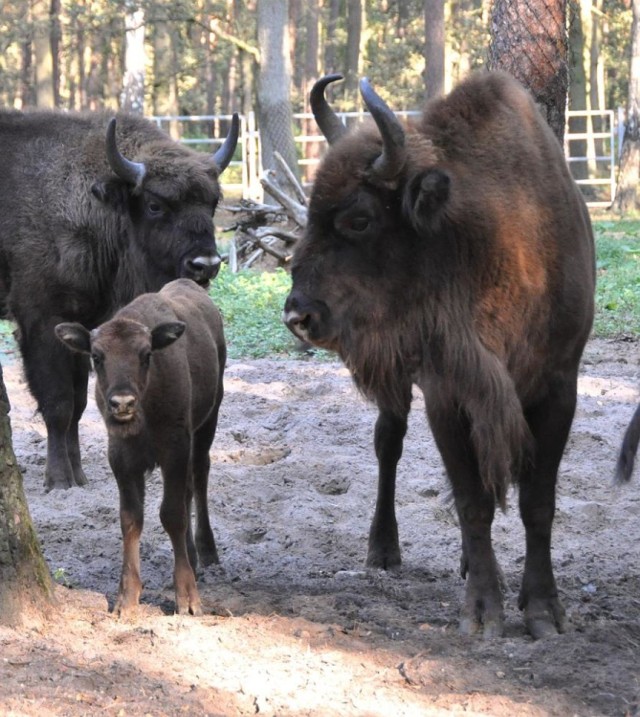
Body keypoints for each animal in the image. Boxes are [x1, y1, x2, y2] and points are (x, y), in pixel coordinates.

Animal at [0, 109, 238, 492]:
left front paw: (80, 476)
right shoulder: (41, 322)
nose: (205, 264)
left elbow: (79, 402)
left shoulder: (83, 324)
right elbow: (59, 403)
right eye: (155, 205)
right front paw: (59, 480)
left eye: (211, 203)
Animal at [55, 280, 225, 616]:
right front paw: (126, 598)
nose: (122, 403)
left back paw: (207, 551)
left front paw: (187, 598)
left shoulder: (175, 449)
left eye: (146, 354)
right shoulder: (122, 459)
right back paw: (192, 555)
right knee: (189, 487)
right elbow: (131, 518)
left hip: (208, 420)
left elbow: (172, 514)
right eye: (97, 356)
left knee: (200, 477)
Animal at [284, 71, 596, 636]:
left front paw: (543, 610)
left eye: (359, 219)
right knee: (388, 443)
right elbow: (472, 502)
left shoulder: (559, 385)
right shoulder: (446, 391)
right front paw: (483, 613)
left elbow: (538, 503)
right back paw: (384, 550)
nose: (299, 316)